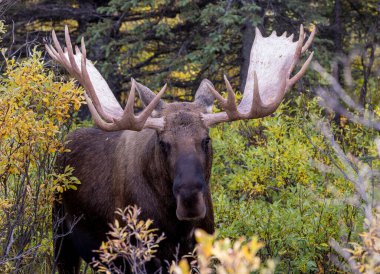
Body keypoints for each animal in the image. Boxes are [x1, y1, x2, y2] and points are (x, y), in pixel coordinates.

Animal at [46, 24, 314, 272]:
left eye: (206, 139)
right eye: (163, 142)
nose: (190, 198)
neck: (179, 229)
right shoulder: (139, 254)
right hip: (62, 237)